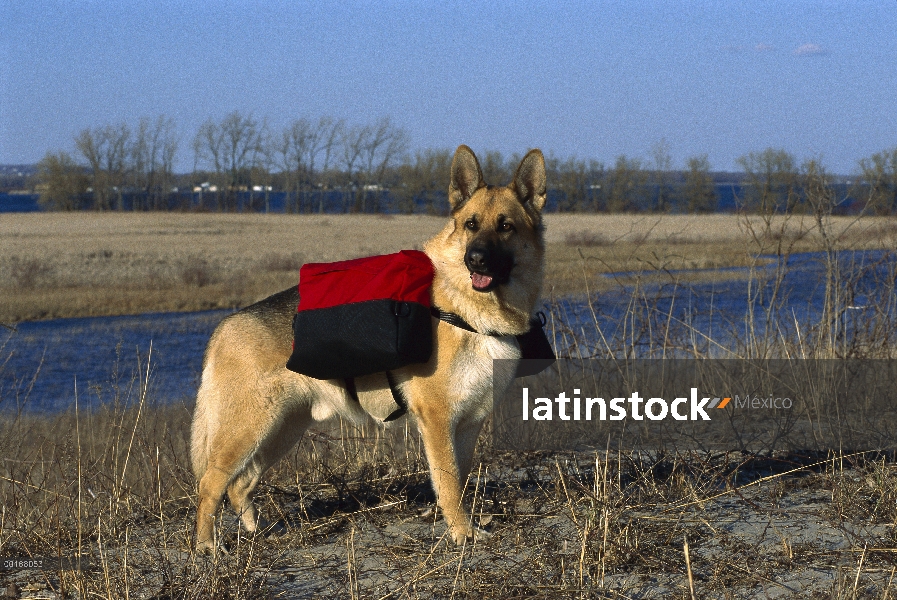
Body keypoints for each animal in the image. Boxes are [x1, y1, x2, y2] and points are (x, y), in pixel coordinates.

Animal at [191, 145, 544, 552]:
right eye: (471, 225)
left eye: (506, 227)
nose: (477, 260)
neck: (467, 310)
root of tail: (225, 326)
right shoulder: (438, 420)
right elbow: (450, 482)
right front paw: (462, 533)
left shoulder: (469, 423)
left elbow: (457, 478)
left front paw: (447, 520)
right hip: (248, 430)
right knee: (210, 485)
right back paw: (206, 547)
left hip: (282, 431)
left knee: (240, 485)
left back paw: (258, 532)